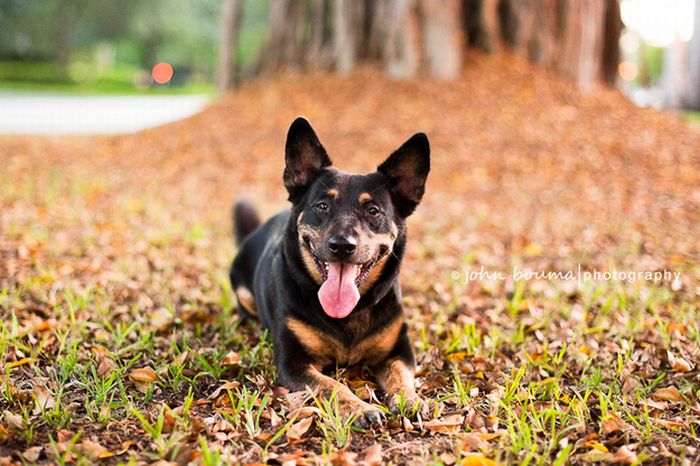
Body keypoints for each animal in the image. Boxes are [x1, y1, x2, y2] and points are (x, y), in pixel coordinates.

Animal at [230, 116, 430, 426]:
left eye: (373, 211)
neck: (349, 314)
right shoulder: (294, 364)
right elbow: (331, 385)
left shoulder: (399, 350)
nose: (342, 246)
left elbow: (401, 376)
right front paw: (359, 408)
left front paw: (409, 399)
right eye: (322, 205)